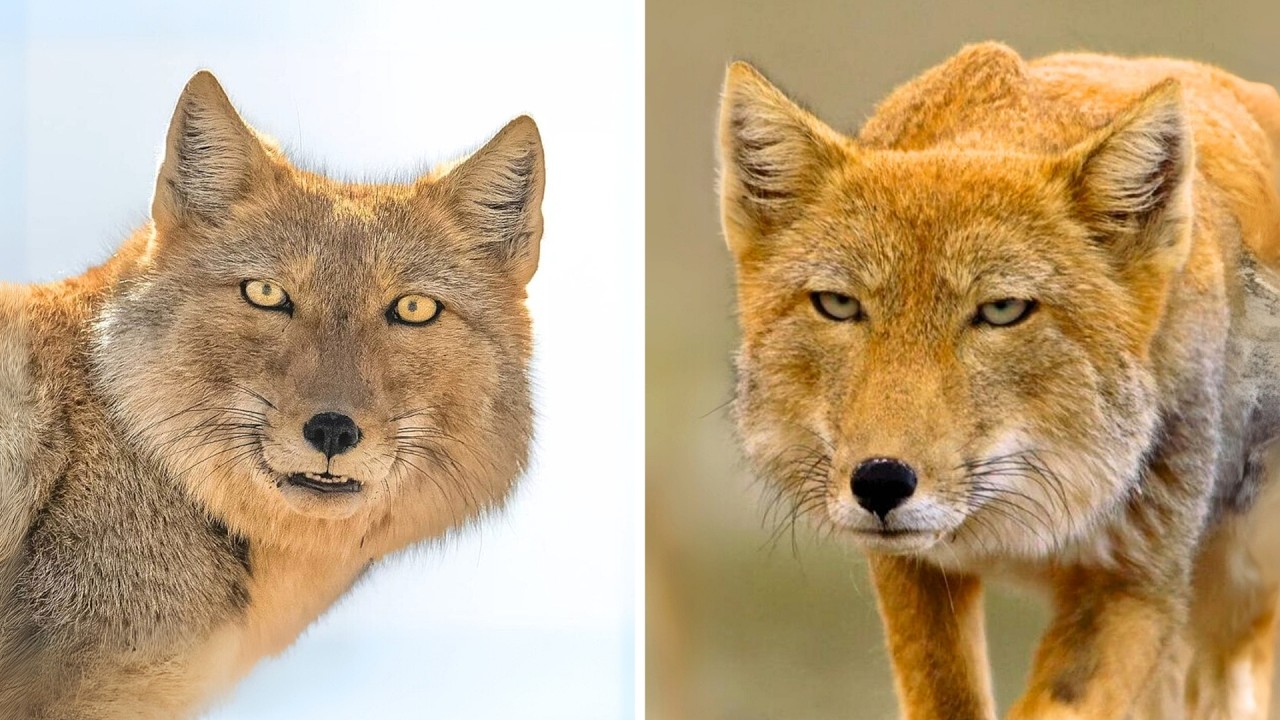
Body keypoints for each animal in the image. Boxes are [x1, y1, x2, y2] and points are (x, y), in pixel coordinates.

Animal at [719, 43, 1280, 719]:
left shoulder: (1138, 585)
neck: (1020, 532)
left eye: (1003, 310)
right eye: (838, 305)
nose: (880, 482)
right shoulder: (912, 569)